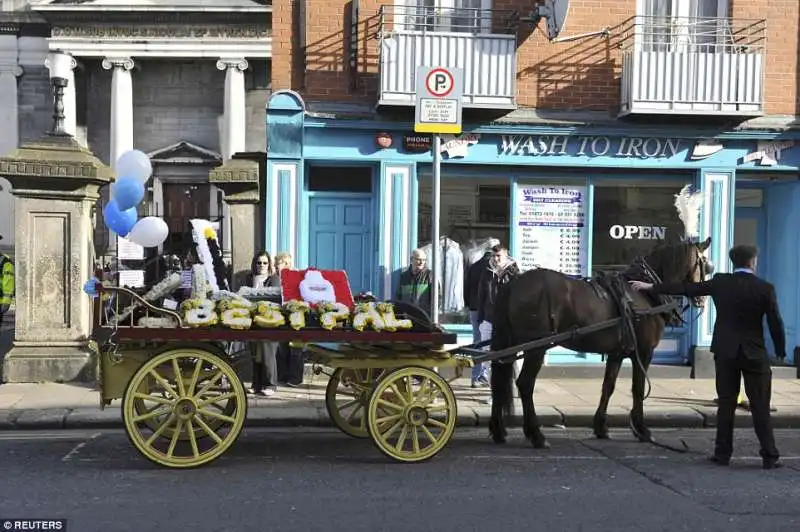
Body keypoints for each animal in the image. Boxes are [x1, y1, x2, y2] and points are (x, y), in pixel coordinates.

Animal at [488, 237, 712, 448]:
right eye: (705, 265)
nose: (702, 300)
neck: (642, 293)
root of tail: (513, 284)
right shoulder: (644, 351)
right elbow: (638, 389)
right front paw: (641, 429)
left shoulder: (617, 353)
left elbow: (608, 387)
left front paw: (601, 426)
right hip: (536, 347)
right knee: (525, 384)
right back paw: (536, 435)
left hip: (511, 344)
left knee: (498, 381)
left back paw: (499, 431)